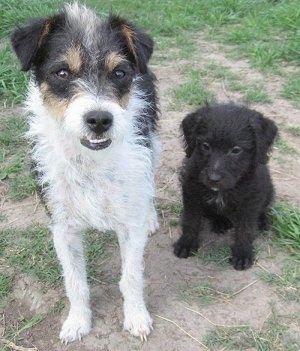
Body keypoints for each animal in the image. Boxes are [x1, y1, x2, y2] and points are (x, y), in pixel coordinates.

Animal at [175, 103, 278, 270]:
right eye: (206, 146)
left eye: (236, 150)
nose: (213, 178)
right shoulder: (191, 192)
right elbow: (191, 220)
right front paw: (187, 243)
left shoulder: (251, 201)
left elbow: (246, 229)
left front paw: (242, 253)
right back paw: (220, 222)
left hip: (268, 189)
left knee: (263, 208)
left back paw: (262, 220)